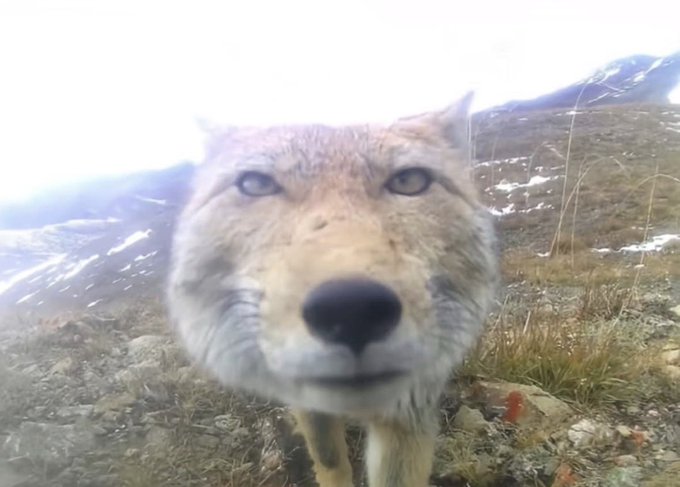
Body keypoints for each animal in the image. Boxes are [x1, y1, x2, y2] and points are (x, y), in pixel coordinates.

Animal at [167, 93, 499, 487]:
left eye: (409, 181)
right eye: (256, 184)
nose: (352, 309)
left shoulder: (409, 411)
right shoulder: (311, 405)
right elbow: (329, 460)